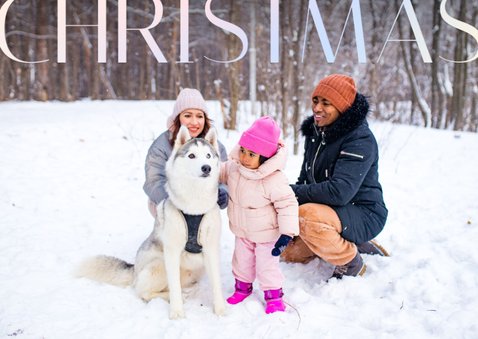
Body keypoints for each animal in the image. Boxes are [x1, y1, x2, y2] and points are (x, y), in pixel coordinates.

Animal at [78, 126, 226, 320]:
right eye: (192, 155)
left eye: (208, 155)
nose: (206, 168)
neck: (194, 206)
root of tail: (134, 269)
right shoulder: (172, 252)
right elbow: (174, 288)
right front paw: (176, 312)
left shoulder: (211, 249)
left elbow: (217, 284)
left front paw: (220, 310)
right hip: (158, 264)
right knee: (146, 292)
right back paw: (174, 296)